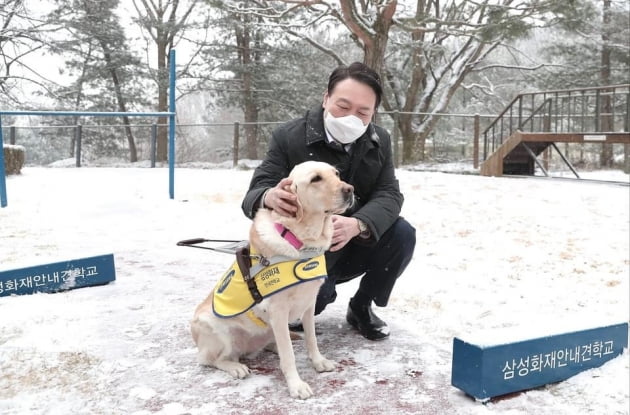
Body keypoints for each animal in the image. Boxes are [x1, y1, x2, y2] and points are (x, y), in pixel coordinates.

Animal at [190, 160, 356, 400]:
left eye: (336, 174)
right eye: (315, 179)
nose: (350, 189)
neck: (301, 241)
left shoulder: (309, 302)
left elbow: (311, 339)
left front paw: (318, 361)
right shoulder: (278, 310)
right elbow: (289, 357)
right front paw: (296, 385)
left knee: (273, 343)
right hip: (218, 330)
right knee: (213, 359)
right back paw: (235, 367)